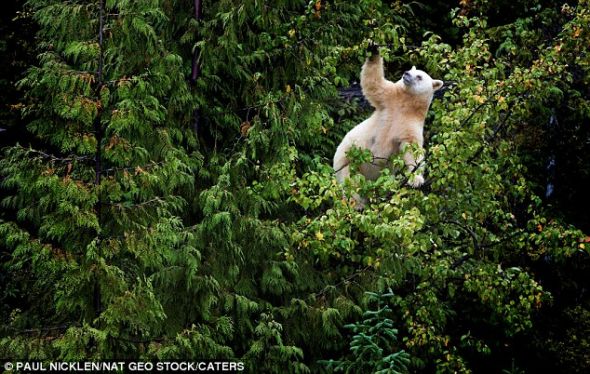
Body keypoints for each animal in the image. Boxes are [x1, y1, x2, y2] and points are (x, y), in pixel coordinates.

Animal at [336, 51, 442, 207]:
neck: (406, 104)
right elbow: (374, 84)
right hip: (347, 159)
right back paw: (357, 203)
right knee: (349, 181)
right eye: (410, 70)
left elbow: (412, 149)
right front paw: (374, 51)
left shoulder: (411, 124)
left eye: (419, 76)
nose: (406, 73)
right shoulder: (388, 99)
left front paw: (416, 180)